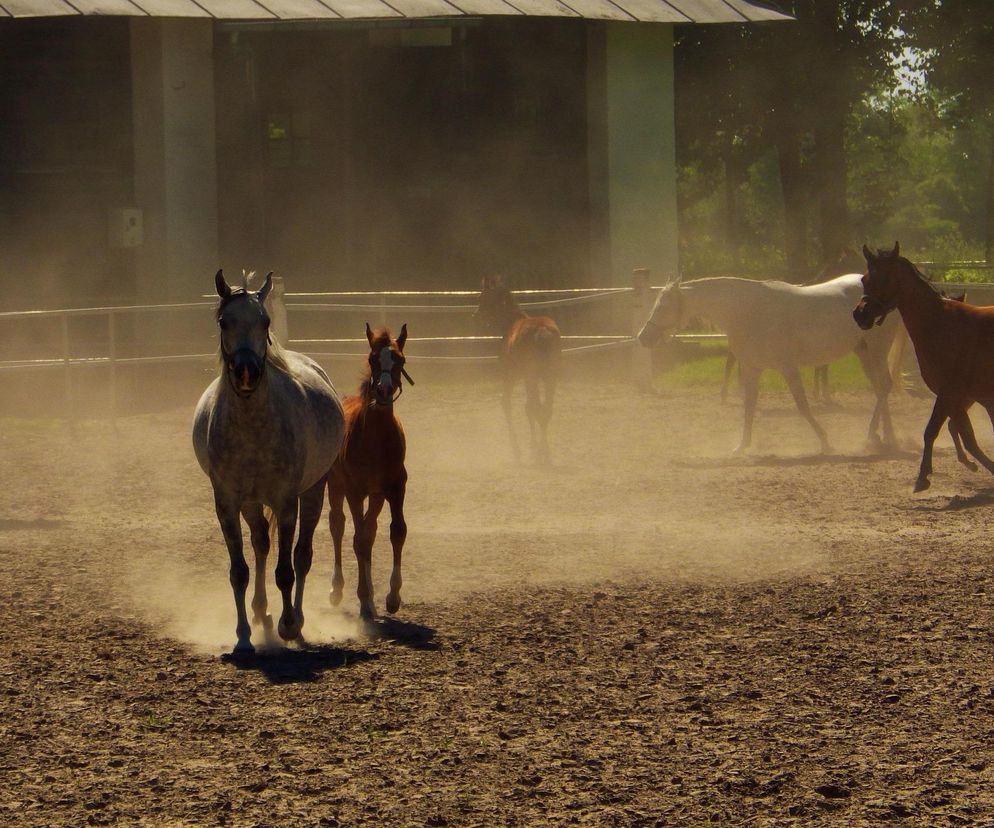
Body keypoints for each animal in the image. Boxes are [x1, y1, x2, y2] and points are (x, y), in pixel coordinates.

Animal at [192, 272, 342, 652]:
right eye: (224, 321)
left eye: (265, 321)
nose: (247, 372)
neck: (252, 428)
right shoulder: (227, 504)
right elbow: (239, 571)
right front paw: (243, 636)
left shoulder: (287, 501)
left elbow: (286, 570)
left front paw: (289, 625)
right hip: (251, 503)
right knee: (261, 544)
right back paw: (261, 613)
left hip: (314, 491)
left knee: (301, 556)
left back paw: (296, 623)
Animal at [328, 324, 408, 620]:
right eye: (373, 359)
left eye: (400, 360)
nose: (383, 391)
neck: (376, 439)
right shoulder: (354, 491)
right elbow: (358, 540)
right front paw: (363, 599)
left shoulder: (395, 487)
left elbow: (397, 531)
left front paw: (392, 597)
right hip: (335, 486)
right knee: (338, 525)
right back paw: (337, 590)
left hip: (376, 495)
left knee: (370, 529)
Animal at [470, 276, 560, 460]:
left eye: (480, 298)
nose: (475, 317)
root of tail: (542, 331)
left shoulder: (510, 376)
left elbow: (507, 403)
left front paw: (518, 447)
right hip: (549, 376)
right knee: (545, 409)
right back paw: (544, 449)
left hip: (531, 376)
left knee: (534, 408)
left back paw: (537, 449)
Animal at [640, 274, 904, 452]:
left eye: (663, 306)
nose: (643, 337)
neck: (748, 311)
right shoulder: (752, 368)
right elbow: (749, 406)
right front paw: (742, 446)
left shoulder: (787, 367)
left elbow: (802, 406)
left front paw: (825, 441)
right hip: (863, 352)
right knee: (880, 388)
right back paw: (885, 437)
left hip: (878, 349)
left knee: (884, 386)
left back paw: (871, 436)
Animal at [848, 244, 992, 492]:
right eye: (865, 279)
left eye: (885, 278)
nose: (860, 314)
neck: (941, 324)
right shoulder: (955, 397)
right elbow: (960, 434)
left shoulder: (950, 393)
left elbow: (939, 430)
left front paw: (923, 476)